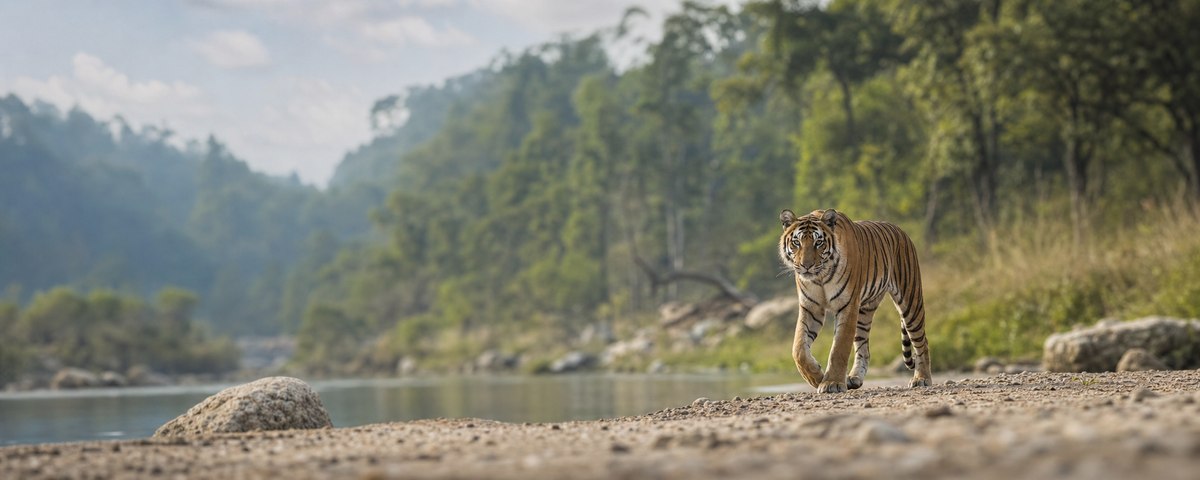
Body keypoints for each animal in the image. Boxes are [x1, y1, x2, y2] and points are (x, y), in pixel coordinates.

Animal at [778, 208, 932, 393]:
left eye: (818, 243)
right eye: (797, 242)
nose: (806, 266)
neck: (820, 276)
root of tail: (901, 231)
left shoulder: (848, 305)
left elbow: (839, 348)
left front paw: (832, 383)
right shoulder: (811, 308)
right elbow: (799, 348)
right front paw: (816, 376)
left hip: (910, 302)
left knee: (922, 342)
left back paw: (922, 379)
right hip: (864, 313)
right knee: (863, 348)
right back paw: (854, 378)